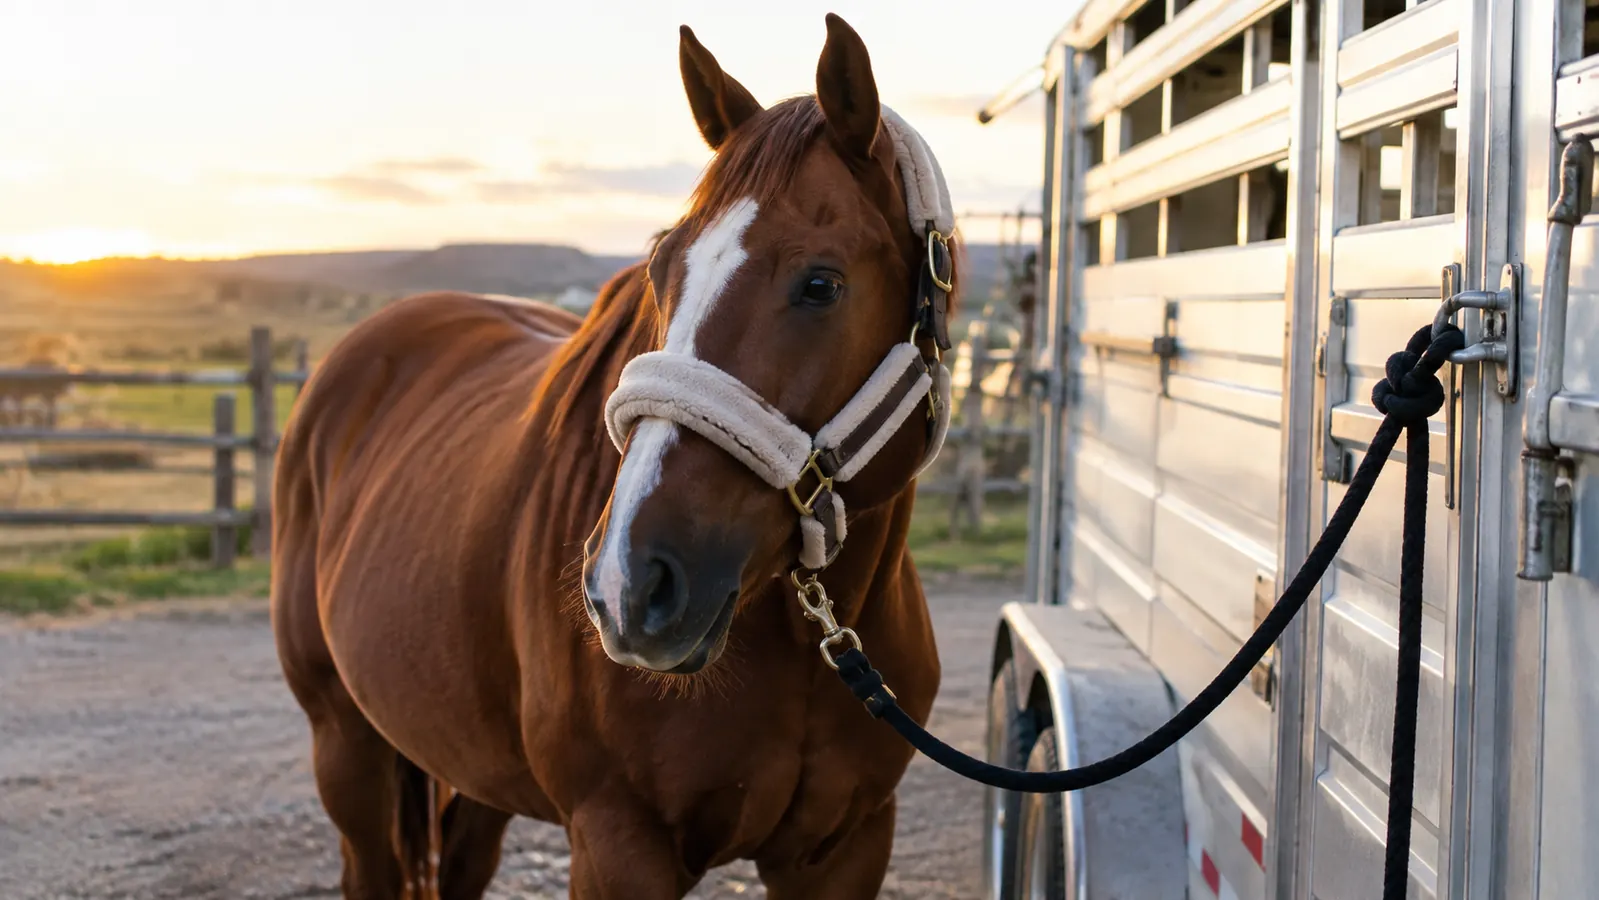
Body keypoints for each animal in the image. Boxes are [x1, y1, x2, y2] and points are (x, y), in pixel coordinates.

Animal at [271, 14, 961, 899]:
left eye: (821, 284)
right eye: (660, 269)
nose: (628, 587)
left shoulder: (847, 846)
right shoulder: (615, 843)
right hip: (347, 748)